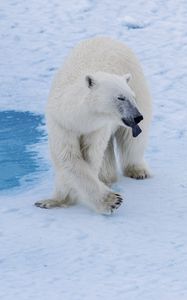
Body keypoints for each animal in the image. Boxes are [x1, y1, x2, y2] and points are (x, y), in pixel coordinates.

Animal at [35, 36, 152, 213]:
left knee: (132, 141)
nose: (137, 117)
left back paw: (137, 171)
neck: (78, 118)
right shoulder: (62, 124)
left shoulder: (96, 128)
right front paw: (53, 201)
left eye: (131, 96)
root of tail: (109, 38)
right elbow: (68, 158)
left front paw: (111, 200)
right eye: (120, 97)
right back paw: (107, 178)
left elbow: (90, 157)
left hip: (139, 83)